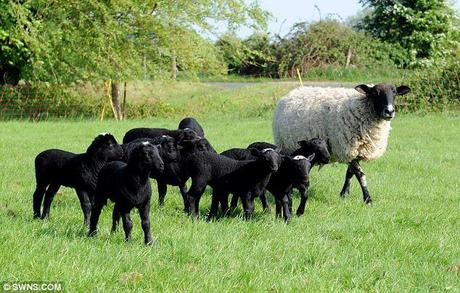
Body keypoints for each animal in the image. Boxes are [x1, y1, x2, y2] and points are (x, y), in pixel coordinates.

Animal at [274, 82, 410, 203]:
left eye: (395, 93)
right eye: (375, 93)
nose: (389, 111)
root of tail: (290, 94)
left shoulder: (355, 150)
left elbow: (350, 173)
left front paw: (344, 194)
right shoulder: (347, 147)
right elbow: (360, 175)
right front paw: (368, 199)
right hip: (286, 146)